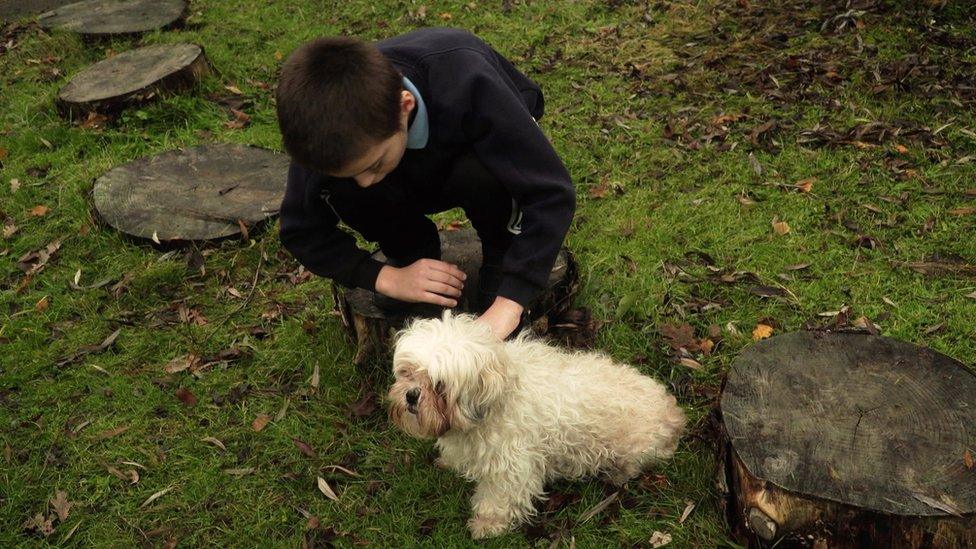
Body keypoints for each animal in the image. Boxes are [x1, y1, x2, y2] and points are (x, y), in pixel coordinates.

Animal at [388, 310, 688, 536]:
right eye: (407, 372)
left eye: (439, 386)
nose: (411, 395)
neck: (500, 394)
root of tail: (674, 415)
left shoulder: (512, 466)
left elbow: (498, 499)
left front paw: (487, 525)